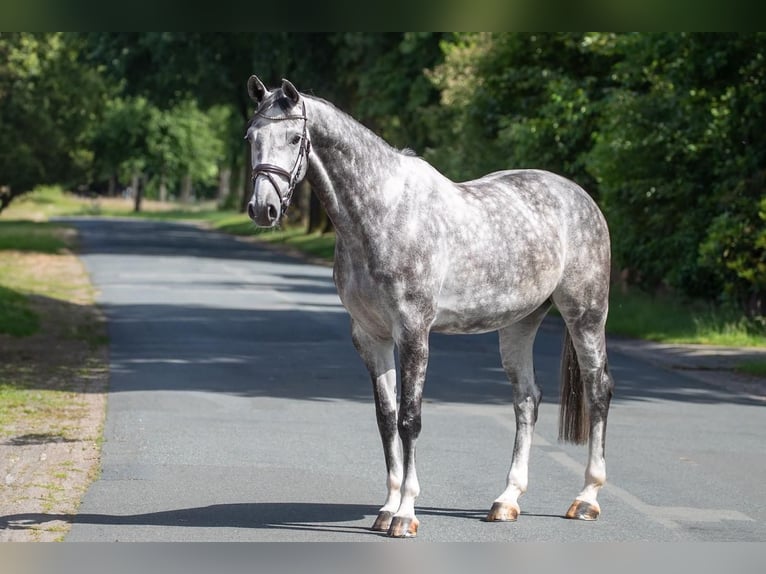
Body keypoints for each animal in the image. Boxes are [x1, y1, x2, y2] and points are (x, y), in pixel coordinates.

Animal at [246, 76, 616, 540]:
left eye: (295, 138)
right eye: (251, 137)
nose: (263, 209)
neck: (383, 212)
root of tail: (581, 198)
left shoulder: (413, 333)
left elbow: (410, 418)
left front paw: (405, 514)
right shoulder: (370, 337)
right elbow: (386, 417)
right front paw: (387, 508)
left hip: (585, 314)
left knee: (598, 391)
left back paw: (587, 499)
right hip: (520, 323)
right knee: (527, 400)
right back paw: (506, 501)